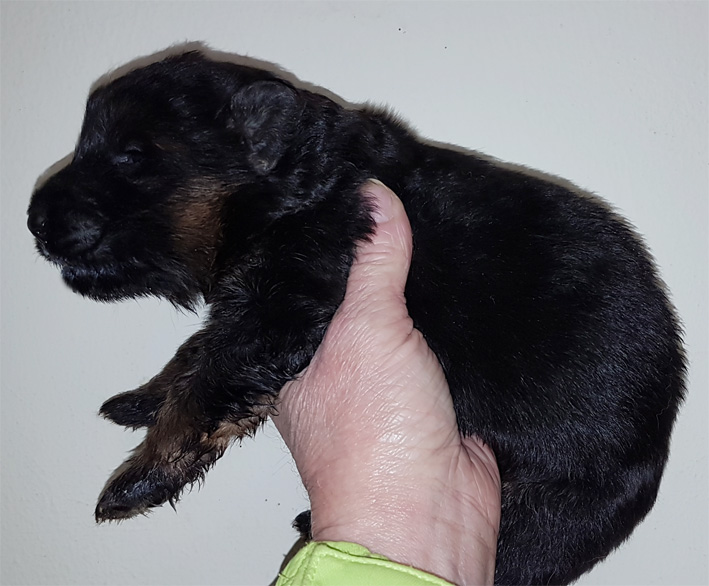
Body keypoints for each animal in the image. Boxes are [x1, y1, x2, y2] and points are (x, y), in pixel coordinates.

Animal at [27, 50, 686, 585]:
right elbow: (193, 357)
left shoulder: (284, 299)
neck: (292, 186)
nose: (32, 219)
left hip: (549, 514)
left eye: (133, 156)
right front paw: (142, 400)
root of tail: (658, 445)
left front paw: (135, 483)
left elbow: (207, 385)